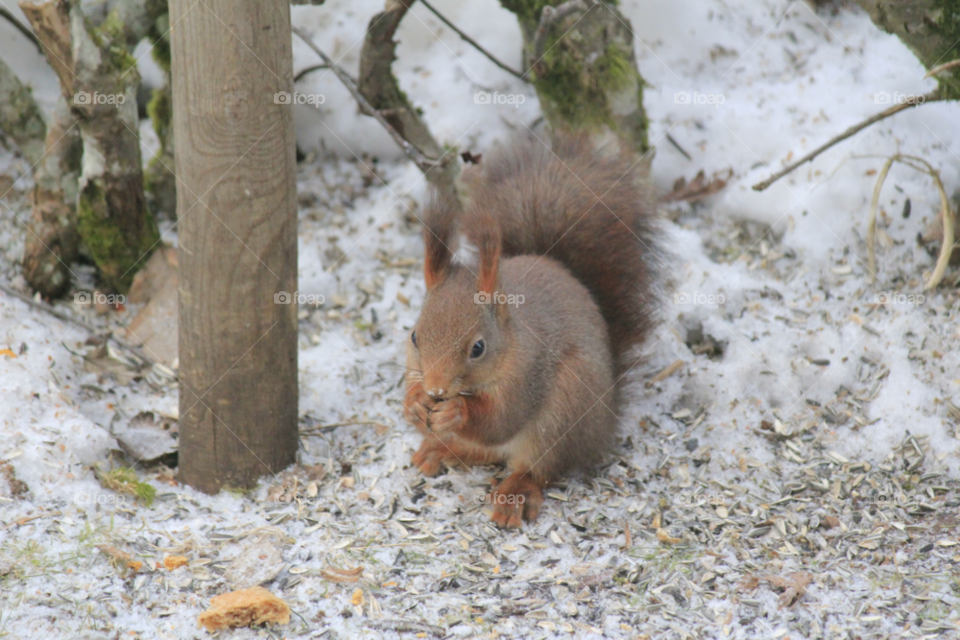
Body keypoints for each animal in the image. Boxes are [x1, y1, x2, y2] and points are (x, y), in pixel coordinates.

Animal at [400, 132, 660, 528]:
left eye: (478, 348)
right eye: (415, 336)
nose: (436, 390)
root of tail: (606, 417)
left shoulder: (526, 376)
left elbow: (501, 419)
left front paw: (456, 412)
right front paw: (414, 401)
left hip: (564, 411)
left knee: (537, 467)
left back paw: (515, 492)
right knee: (484, 452)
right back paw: (441, 448)